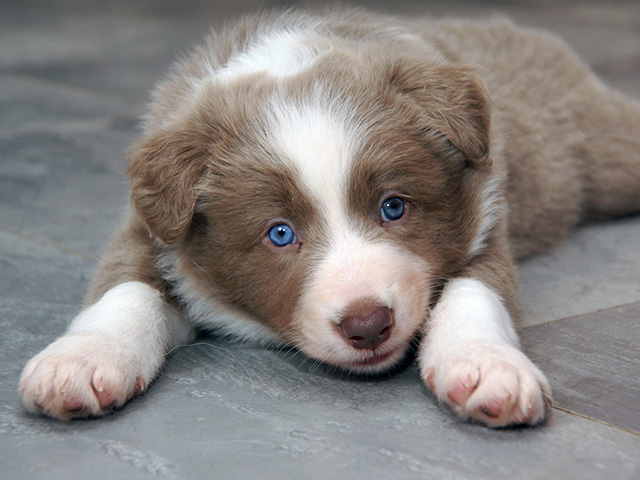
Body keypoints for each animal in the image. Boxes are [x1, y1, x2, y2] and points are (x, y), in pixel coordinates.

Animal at [19, 7, 640, 427]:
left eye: (394, 207)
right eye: (279, 234)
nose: (368, 325)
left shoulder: (487, 218)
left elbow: (475, 293)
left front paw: (486, 367)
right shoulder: (148, 224)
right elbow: (124, 288)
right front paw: (81, 359)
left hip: (604, 154)